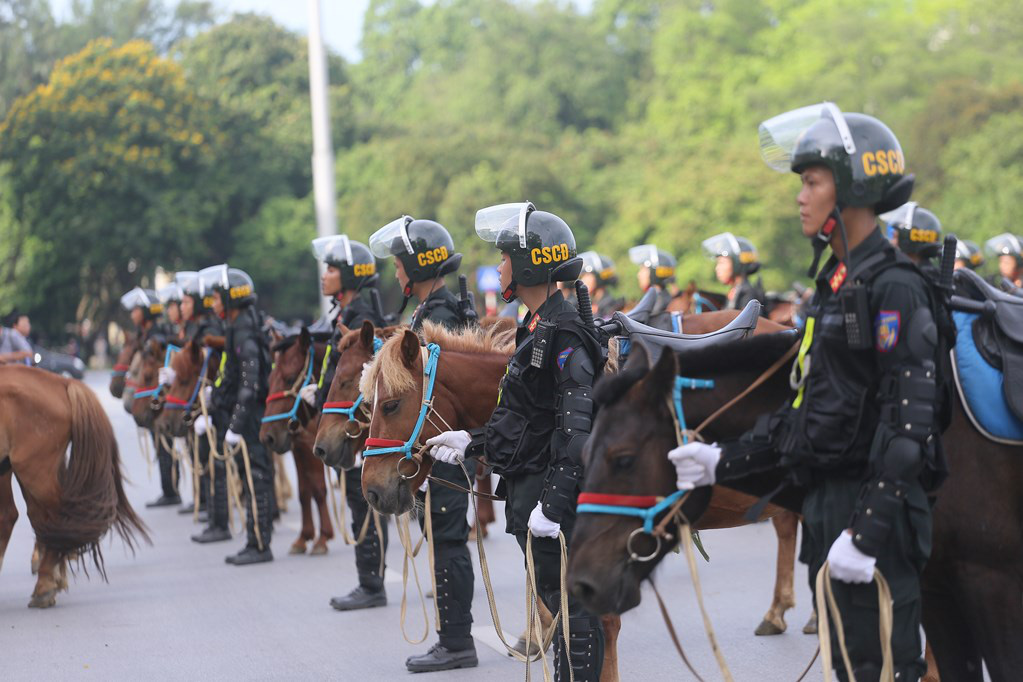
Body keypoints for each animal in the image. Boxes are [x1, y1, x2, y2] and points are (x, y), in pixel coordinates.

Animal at [259, 327, 335, 556]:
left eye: (290, 378)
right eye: (270, 378)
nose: (267, 436)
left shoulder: (312, 449)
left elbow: (318, 489)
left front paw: (322, 537)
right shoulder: (298, 448)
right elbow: (304, 492)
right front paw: (304, 537)